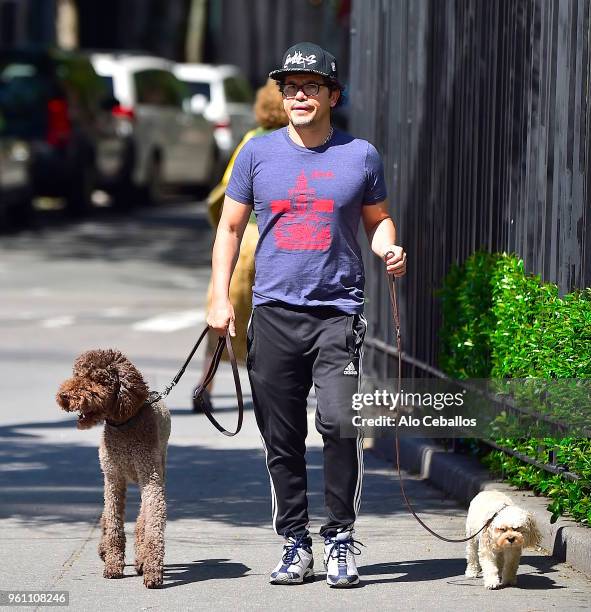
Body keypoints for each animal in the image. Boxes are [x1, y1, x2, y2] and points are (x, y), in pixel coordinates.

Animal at [57, 352, 171, 592]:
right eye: (77, 375)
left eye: (95, 379)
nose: (64, 396)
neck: (124, 423)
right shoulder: (112, 478)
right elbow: (113, 522)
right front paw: (113, 564)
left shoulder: (151, 478)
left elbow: (153, 522)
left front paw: (152, 569)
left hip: (157, 467)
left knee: (142, 517)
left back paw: (141, 558)